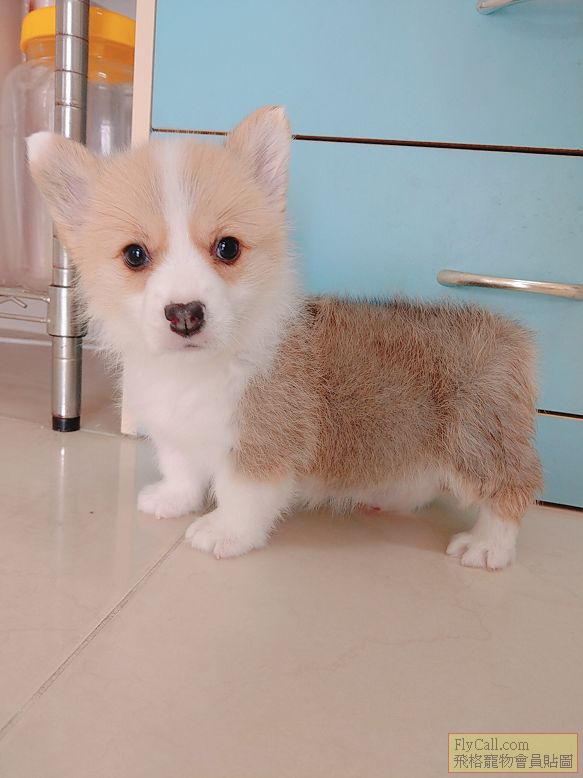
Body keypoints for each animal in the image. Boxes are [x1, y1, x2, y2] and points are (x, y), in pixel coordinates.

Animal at [27, 106, 542, 569]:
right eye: (134, 255)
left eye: (228, 248)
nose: (186, 314)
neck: (200, 369)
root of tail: (509, 332)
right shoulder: (176, 431)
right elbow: (181, 469)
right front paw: (172, 500)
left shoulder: (262, 442)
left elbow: (241, 494)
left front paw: (223, 533)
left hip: (476, 444)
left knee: (514, 488)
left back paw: (488, 546)